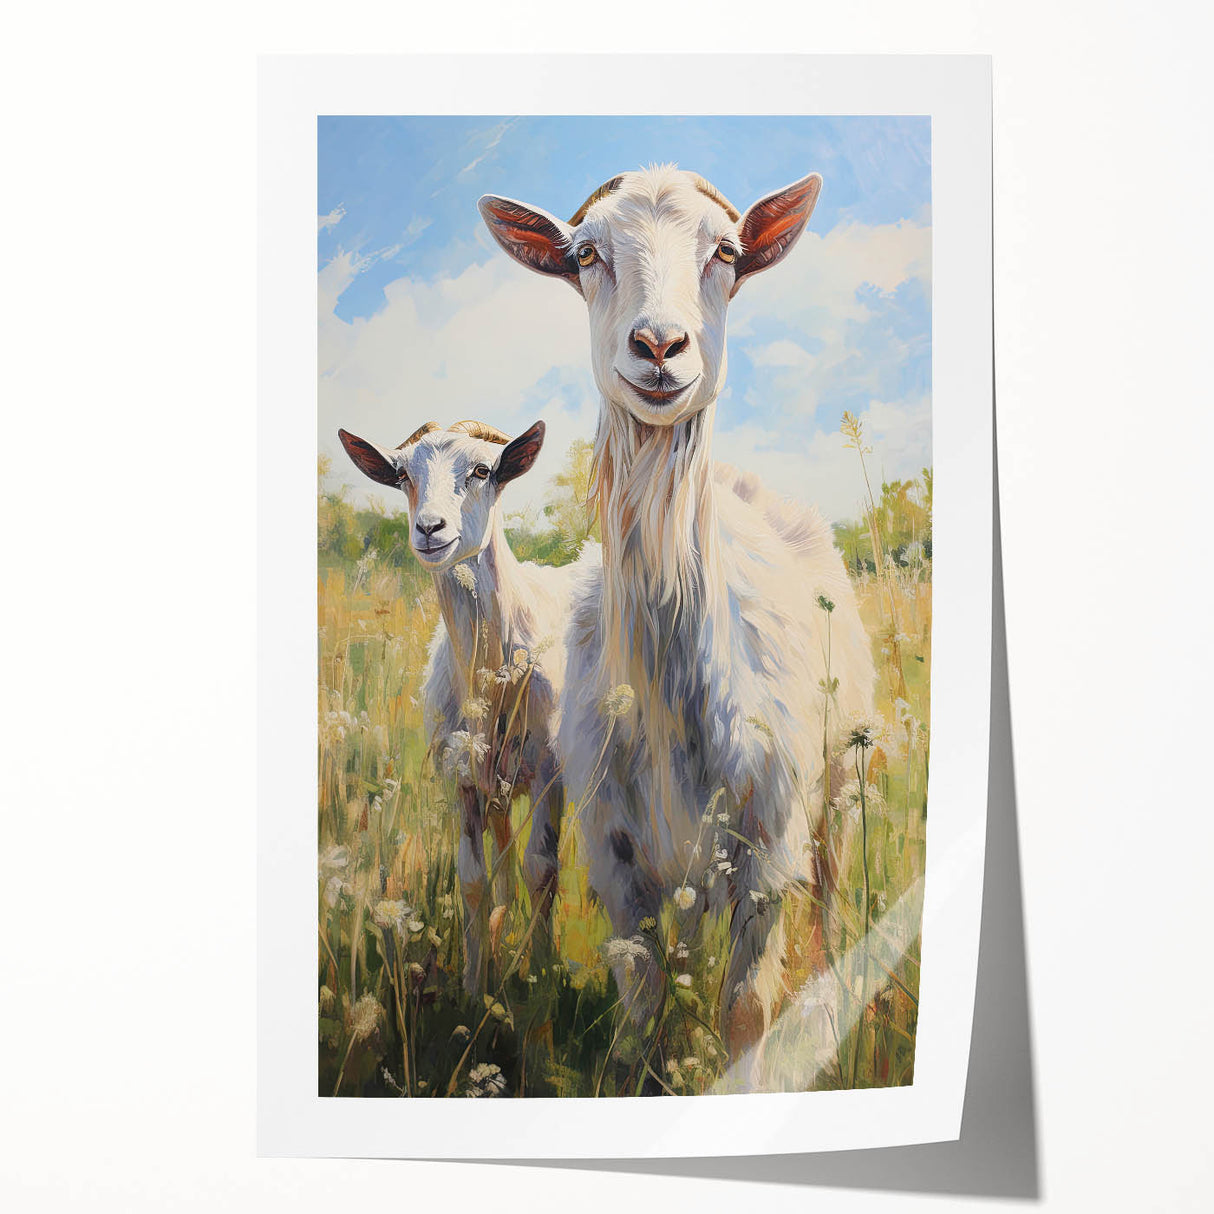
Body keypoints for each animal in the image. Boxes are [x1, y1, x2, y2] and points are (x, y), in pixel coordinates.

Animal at [338, 419, 599, 995]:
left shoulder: (549, 775)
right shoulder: (462, 783)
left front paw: (542, 979)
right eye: (403, 475)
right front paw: (476, 986)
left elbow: (542, 869)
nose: (429, 529)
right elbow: (474, 879)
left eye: (482, 470)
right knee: (500, 863)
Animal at [480, 166, 875, 1071]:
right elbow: (639, 1003)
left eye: (725, 252)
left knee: (835, 904)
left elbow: (746, 1011)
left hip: (840, 788)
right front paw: (646, 1064)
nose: (659, 347)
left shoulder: (769, 852)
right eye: (586, 255)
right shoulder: (614, 853)